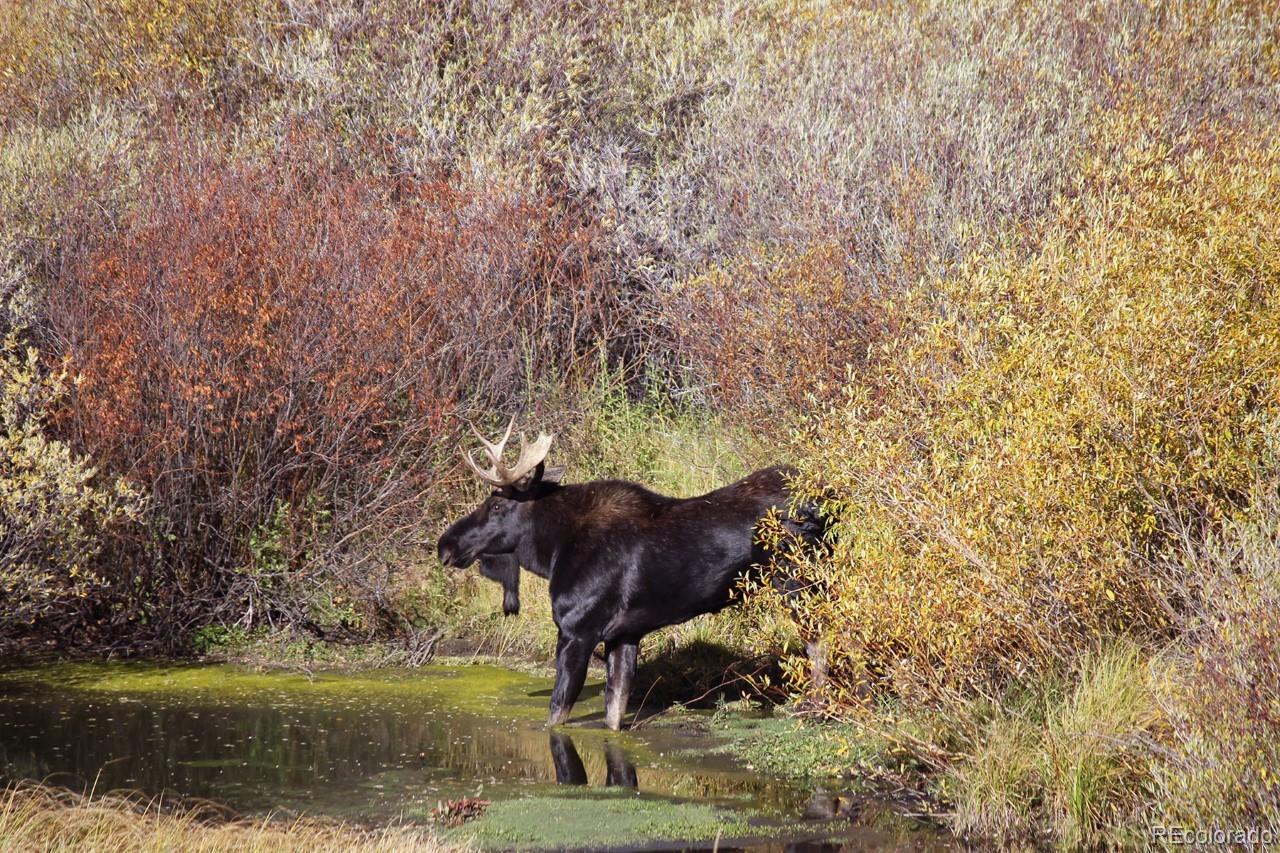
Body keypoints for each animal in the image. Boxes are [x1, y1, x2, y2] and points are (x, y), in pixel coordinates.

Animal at [435, 417, 824, 722]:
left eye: (497, 505)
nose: (446, 545)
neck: (553, 552)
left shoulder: (577, 631)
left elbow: (556, 713)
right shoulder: (623, 635)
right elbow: (613, 711)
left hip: (798, 583)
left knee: (818, 645)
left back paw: (814, 709)